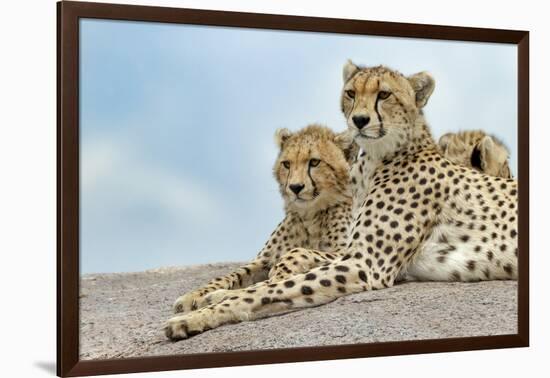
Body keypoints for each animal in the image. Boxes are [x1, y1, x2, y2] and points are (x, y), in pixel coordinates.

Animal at [164, 61, 516, 340]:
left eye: (384, 95)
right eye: (350, 93)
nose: (359, 120)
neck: (373, 161)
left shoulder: (364, 264)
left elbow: (271, 287)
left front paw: (195, 316)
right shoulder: (352, 255)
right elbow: (268, 279)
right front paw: (209, 297)